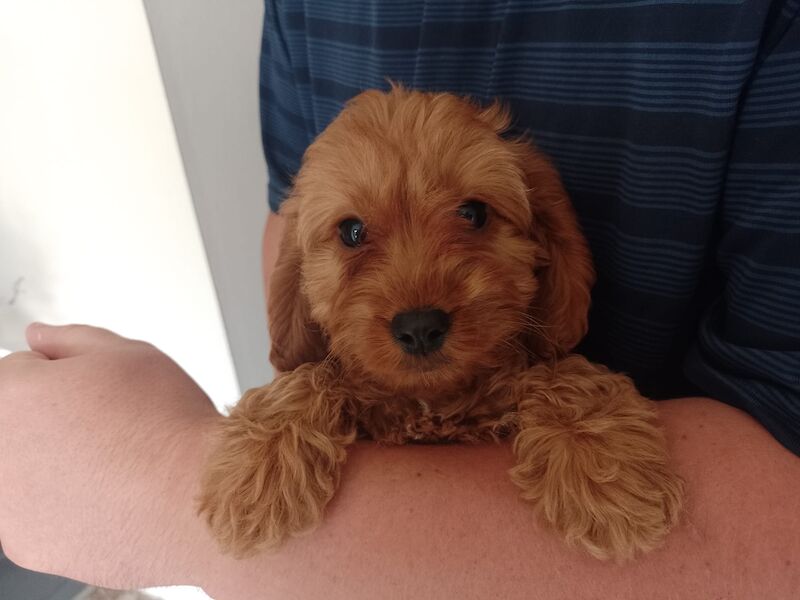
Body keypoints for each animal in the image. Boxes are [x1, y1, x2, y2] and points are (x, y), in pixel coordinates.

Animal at [197, 85, 684, 564]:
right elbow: (310, 374)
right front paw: (256, 468)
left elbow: (557, 370)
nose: (419, 327)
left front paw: (604, 470)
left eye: (473, 213)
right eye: (352, 231)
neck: (431, 404)